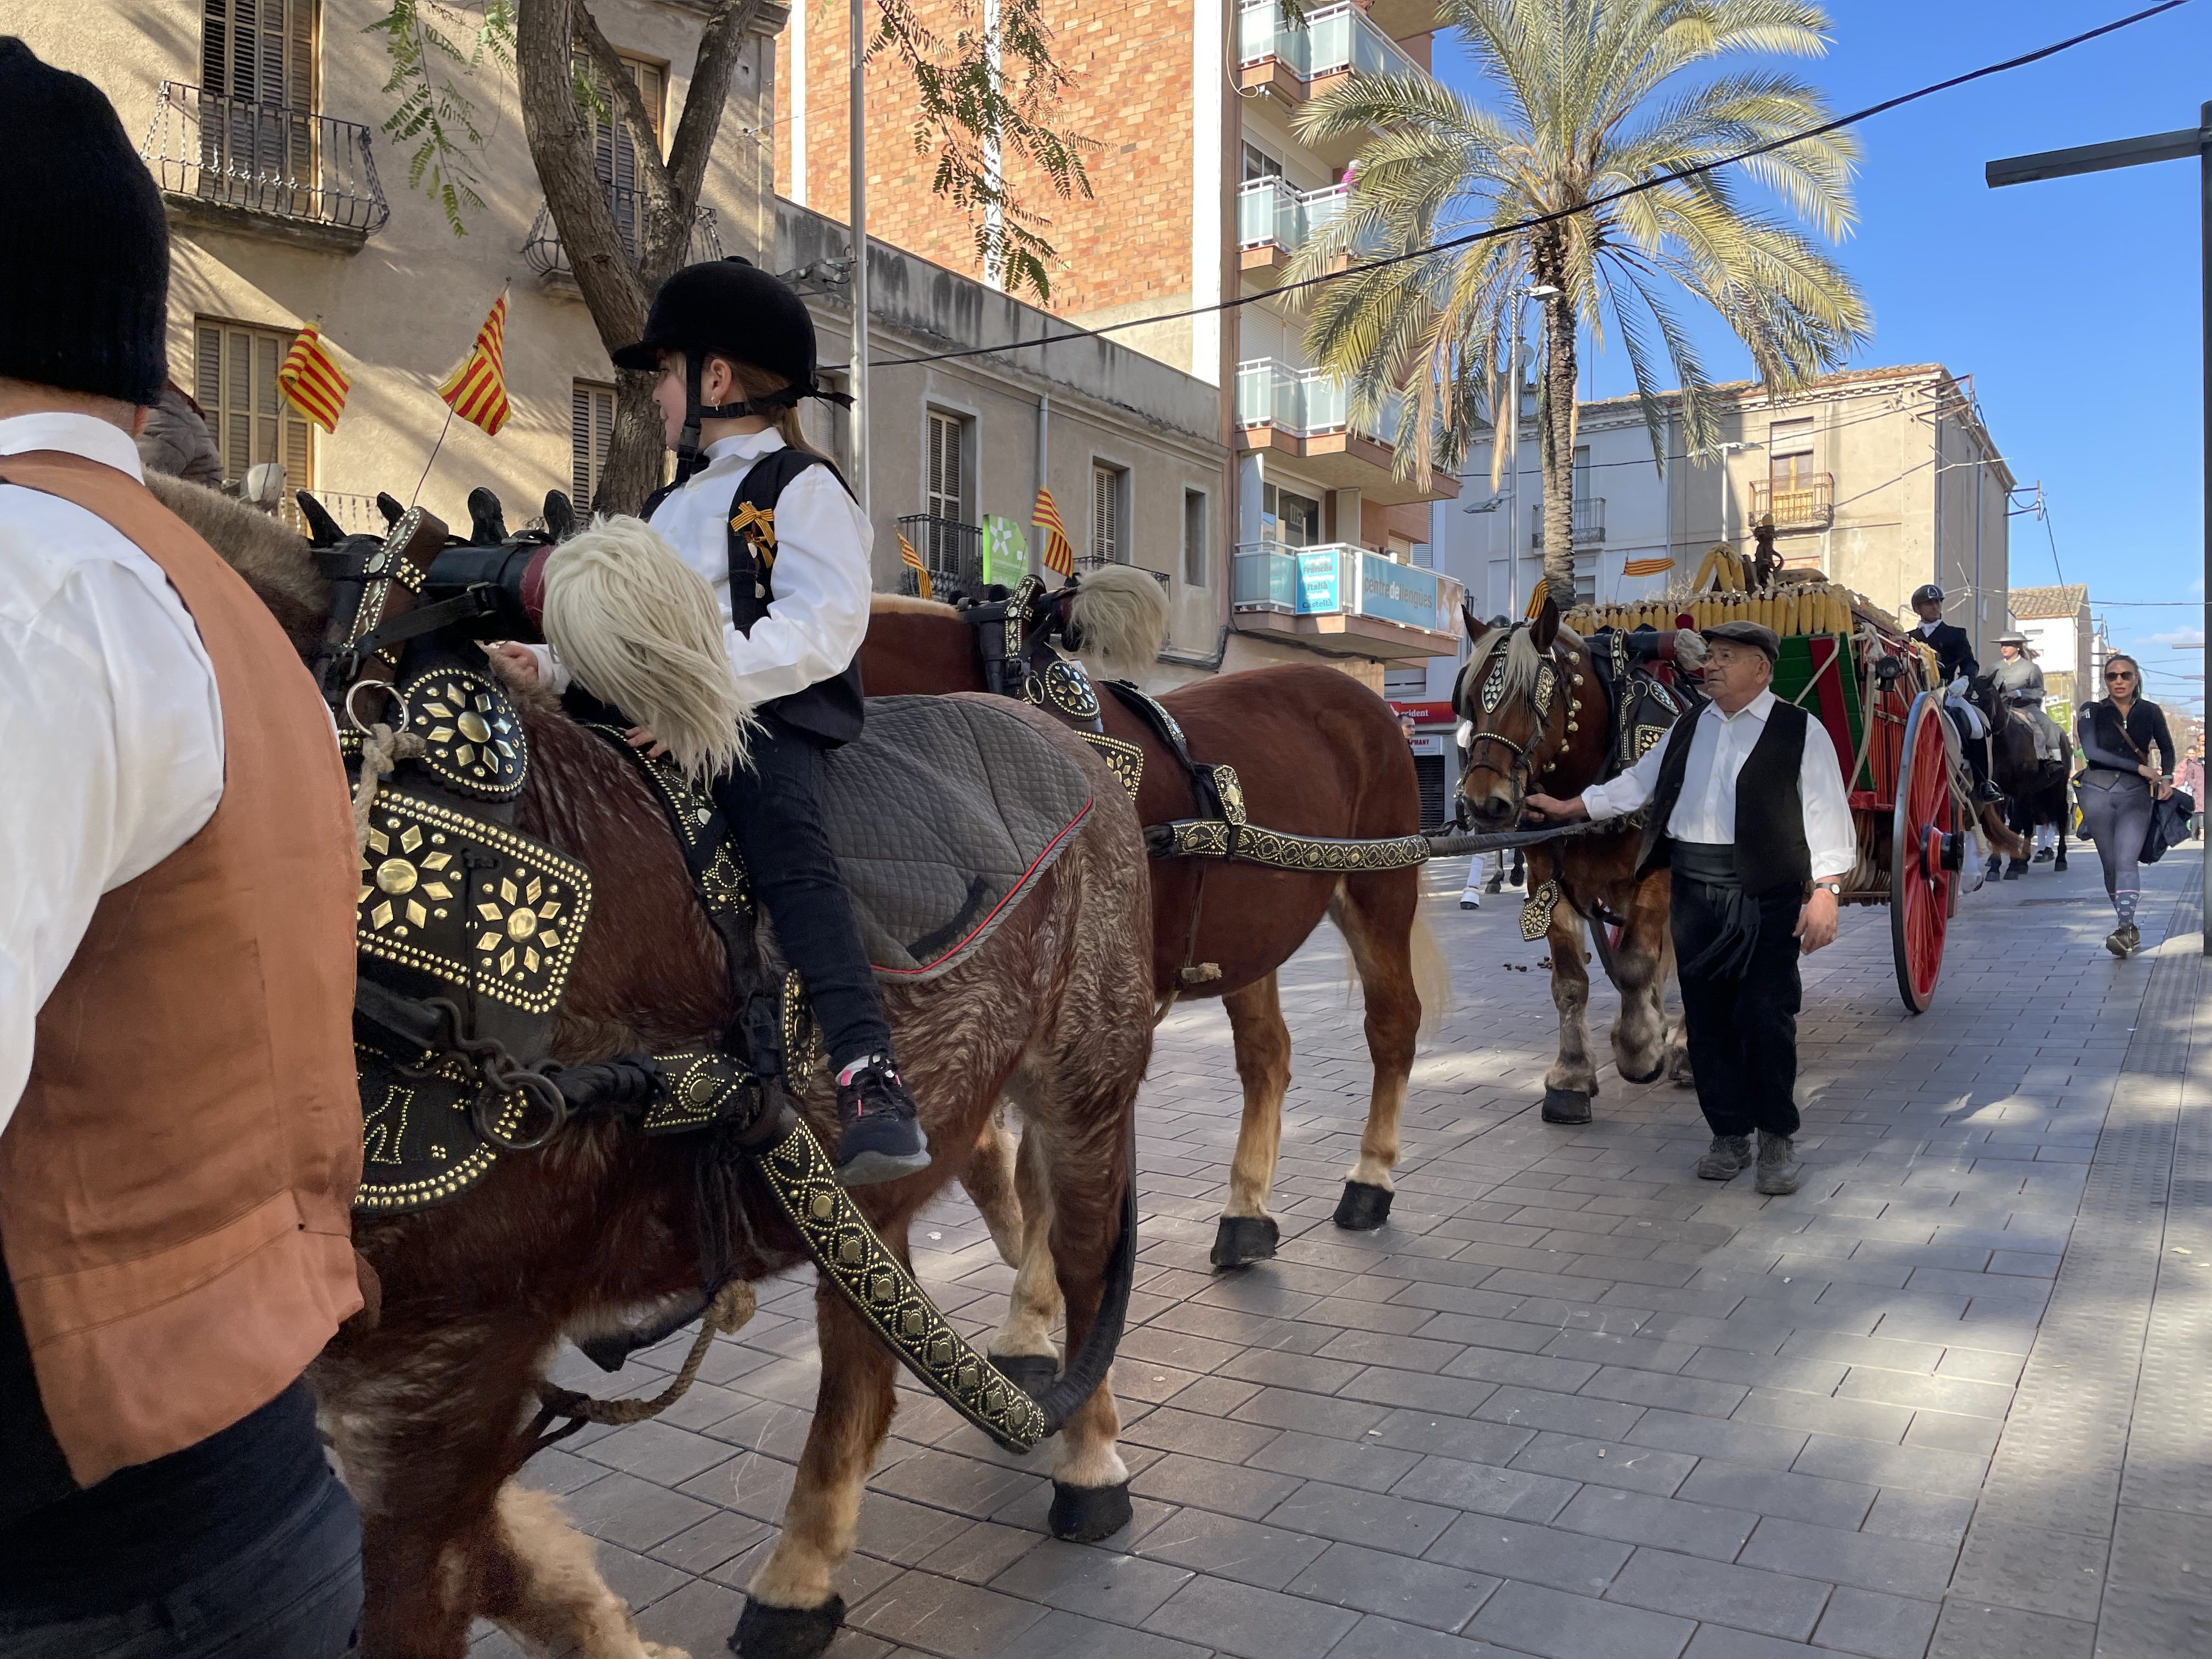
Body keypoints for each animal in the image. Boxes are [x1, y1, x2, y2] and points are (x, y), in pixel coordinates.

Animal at [151, 477, 1159, 1659]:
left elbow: (429, 1586)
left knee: (1084, 1260)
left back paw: (1088, 1459)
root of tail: (1071, 748)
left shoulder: (442, 1355)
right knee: (867, 1356)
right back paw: (803, 1571)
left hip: (1087, 1082)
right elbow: (505, 1570)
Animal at [862, 575, 1451, 1274]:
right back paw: (1245, 1212)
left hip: (1378, 890)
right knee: (1267, 1056)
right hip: (1249, 926)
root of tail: (1366, 700)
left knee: (1392, 1026)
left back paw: (1370, 1179)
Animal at [1460, 606, 1681, 1124]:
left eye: (1530, 698)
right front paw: (1572, 1076)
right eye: (1471, 701)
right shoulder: (1549, 881)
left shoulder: (1657, 875)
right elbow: (1569, 982)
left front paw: (1639, 1049)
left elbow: (1637, 962)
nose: (1482, 802)